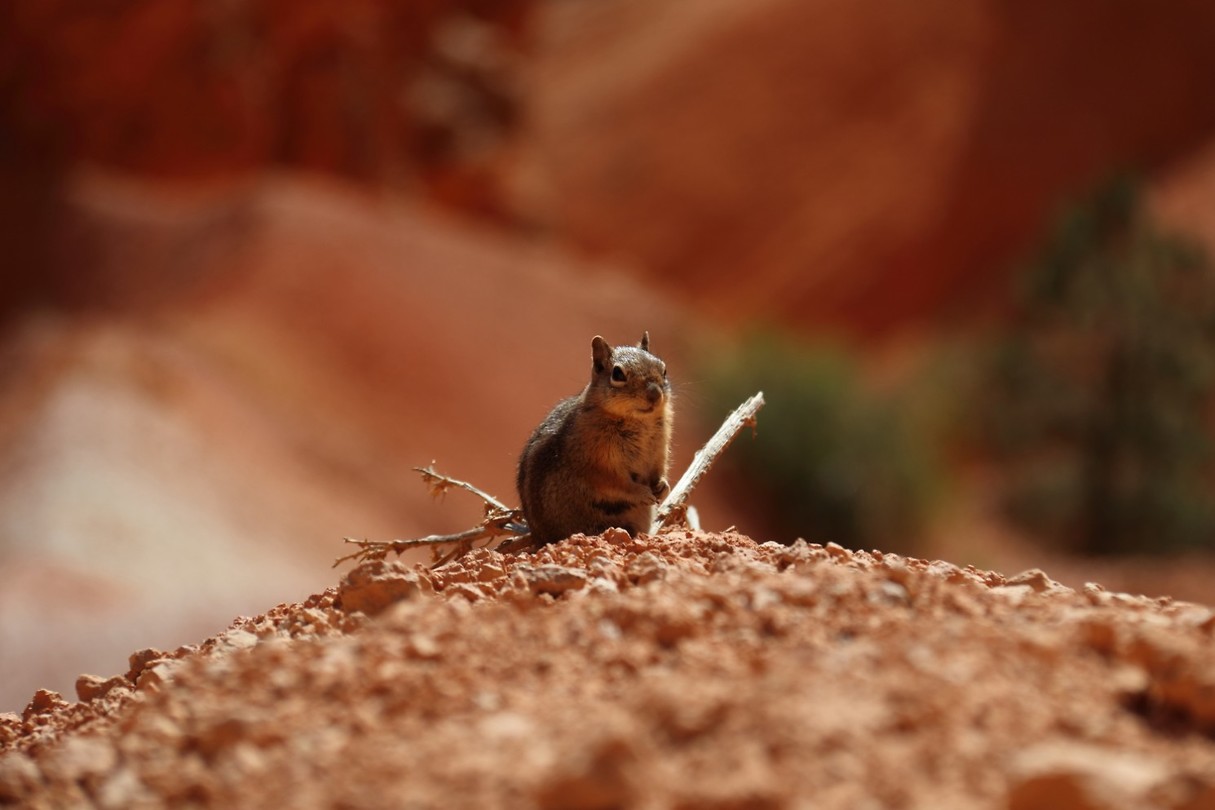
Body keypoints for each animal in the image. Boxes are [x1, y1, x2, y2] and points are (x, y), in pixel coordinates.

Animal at [517, 332, 673, 546]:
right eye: (618, 374)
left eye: (664, 369)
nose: (655, 394)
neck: (638, 421)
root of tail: (538, 538)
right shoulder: (598, 465)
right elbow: (618, 484)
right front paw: (642, 493)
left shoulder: (659, 451)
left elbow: (659, 471)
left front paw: (663, 486)